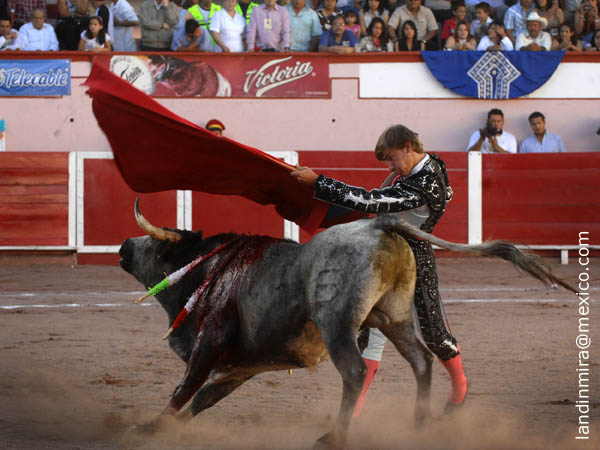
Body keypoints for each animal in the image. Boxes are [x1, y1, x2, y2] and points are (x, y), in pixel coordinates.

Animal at [119, 200, 574, 449]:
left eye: (155, 243)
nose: (123, 245)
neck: (210, 269)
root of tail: (378, 222)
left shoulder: (210, 338)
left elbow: (186, 388)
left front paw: (149, 427)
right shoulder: (245, 365)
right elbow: (205, 397)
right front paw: (172, 427)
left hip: (337, 325)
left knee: (356, 371)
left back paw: (334, 437)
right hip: (392, 316)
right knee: (422, 359)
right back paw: (419, 422)